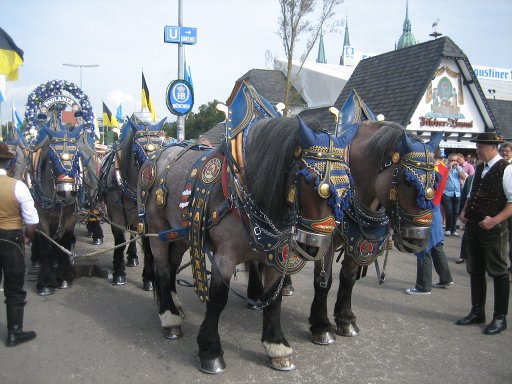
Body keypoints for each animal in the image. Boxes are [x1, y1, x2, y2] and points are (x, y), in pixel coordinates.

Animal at [140, 116, 356, 372]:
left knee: (172, 266)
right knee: (163, 270)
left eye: (344, 189)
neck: (246, 194)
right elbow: (218, 300)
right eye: (310, 181)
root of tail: (159, 154)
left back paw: (176, 307)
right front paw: (210, 350)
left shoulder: (275, 259)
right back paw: (169, 318)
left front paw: (277, 347)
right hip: (157, 231)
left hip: (180, 235)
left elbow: (274, 300)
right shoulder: (225, 257)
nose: (316, 247)